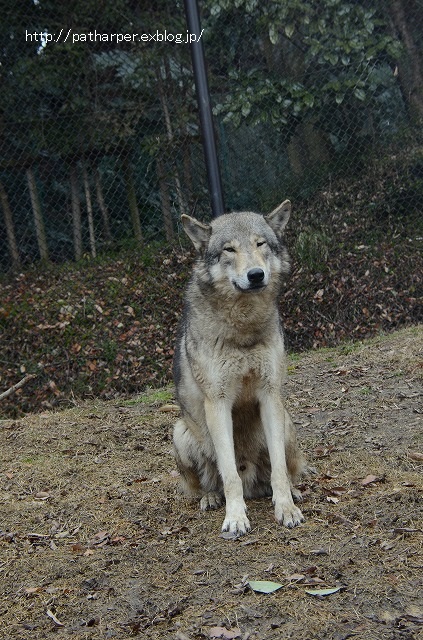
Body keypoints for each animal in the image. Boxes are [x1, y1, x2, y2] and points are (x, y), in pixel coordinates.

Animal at [173, 201, 308, 536]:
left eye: (260, 244)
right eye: (229, 249)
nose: (256, 275)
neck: (243, 327)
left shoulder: (270, 394)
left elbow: (279, 471)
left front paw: (286, 508)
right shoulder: (218, 402)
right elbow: (229, 472)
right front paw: (235, 517)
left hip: (287, 423)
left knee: (281, 470)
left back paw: (293, 491)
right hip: (180, 432)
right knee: (209, 483)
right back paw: (210, 498)